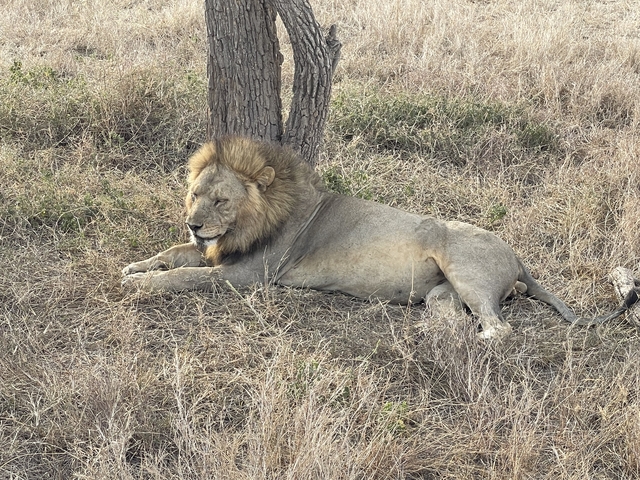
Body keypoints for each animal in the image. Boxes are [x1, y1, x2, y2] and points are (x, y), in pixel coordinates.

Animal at [122, 136, 639, 339]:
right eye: (194, 195)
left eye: (221, 201)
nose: (194, 222)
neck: (254, 218)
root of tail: (517, 256)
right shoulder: (218, 252)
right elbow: (174, 254)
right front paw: (135, 266)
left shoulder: (248, 274)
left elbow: (185, 277)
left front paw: (140, 285)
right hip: (441, 293)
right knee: (451, 319)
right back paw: (427, 332)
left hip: (463, 267)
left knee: (499, 328)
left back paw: (472, 341)